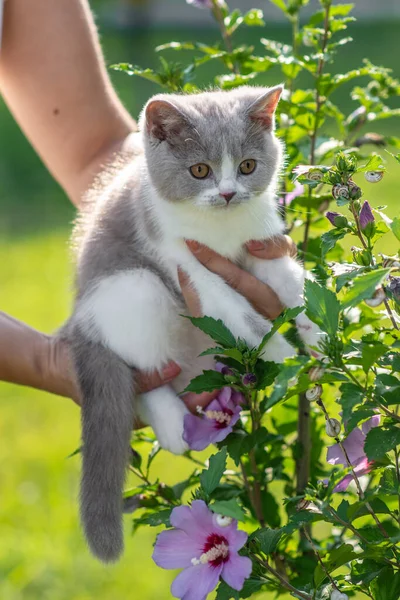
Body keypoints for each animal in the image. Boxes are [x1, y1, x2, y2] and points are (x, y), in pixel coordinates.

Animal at [64, 84, 322, 564]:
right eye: (200, 170)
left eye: (247, 166)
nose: (227, 193)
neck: (222, 228)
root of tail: (77, 322)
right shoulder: (184, 260)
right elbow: (238, 311)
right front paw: (285, 356)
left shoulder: (260, 243)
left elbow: (290, 282)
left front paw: (319, 331)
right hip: (132, 287)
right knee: (146, 373)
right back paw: (171, 425)